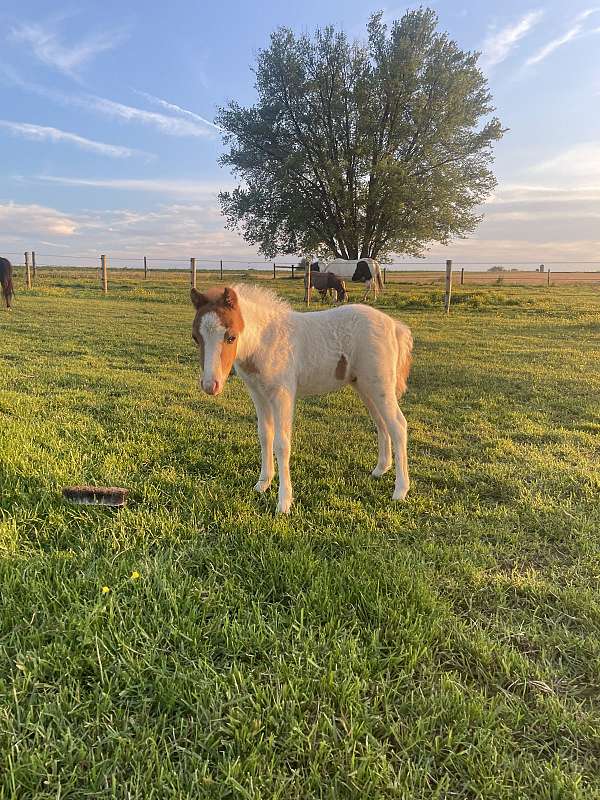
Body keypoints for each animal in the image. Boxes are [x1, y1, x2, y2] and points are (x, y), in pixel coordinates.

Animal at [189, 284, 412, 516]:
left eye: (231, 337)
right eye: (195, 337)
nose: (210, 385)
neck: (265, 341)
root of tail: (394, 325)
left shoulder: (283, 394)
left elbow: (281, 444)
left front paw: (284, 503)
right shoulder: (258, 394)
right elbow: (265, 435)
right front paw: (262, 484)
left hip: (380, 385)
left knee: (398, 425)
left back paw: (400, 490)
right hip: (365, 386)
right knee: (381, 423)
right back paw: (380, 469)